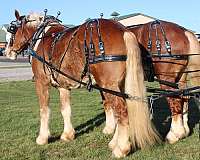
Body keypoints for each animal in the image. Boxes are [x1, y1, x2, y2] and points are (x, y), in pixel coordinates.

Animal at [5, 10, 161, 158]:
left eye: (12, 29)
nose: (7, 52)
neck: (42, 37)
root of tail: (124, 31)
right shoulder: (63, 86)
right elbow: (65, 109)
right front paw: (68, 135)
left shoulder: (41, 82)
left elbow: (44, 110)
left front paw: (42, 138)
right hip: (120, 85)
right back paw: (114, 142)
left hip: (108, 85)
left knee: (122, 112)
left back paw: (121, 149)